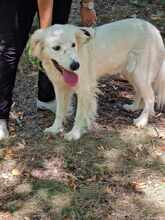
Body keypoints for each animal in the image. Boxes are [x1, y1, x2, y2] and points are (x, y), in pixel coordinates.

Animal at [30, 18, 165, 140]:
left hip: (140, 74)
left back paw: (142, 120)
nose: (76, 65)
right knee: (139, 92)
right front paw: (55, 128)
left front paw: (75, 133)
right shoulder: (59, 88)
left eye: (73, 45)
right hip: (130, 73)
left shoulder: (84, 90)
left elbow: (79, 115)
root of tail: (154, 29)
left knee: (150, 97)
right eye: (56, 48)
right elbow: (59, 111)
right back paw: (133, 107)